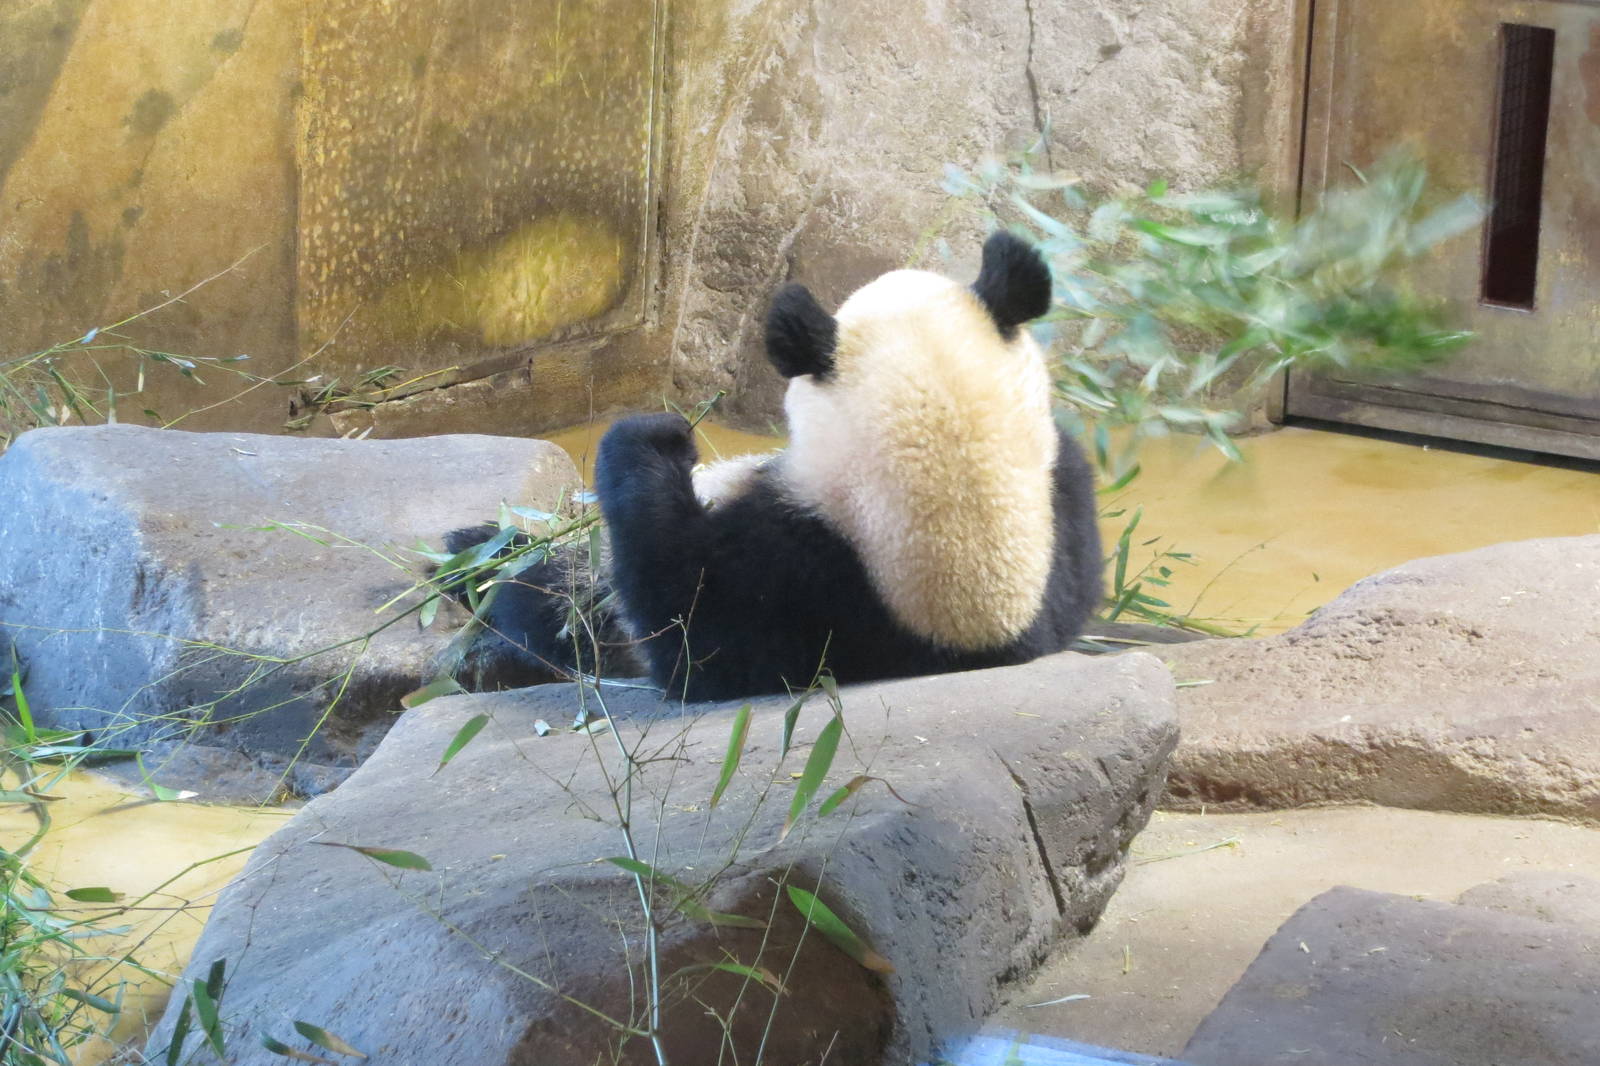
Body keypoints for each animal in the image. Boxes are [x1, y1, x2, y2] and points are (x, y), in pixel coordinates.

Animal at [443, 231, 1103, 702]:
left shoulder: (791, 585)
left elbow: (685, 640)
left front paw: (656, 440)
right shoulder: (1061, 508)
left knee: (555, 591)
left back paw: (476, 562)